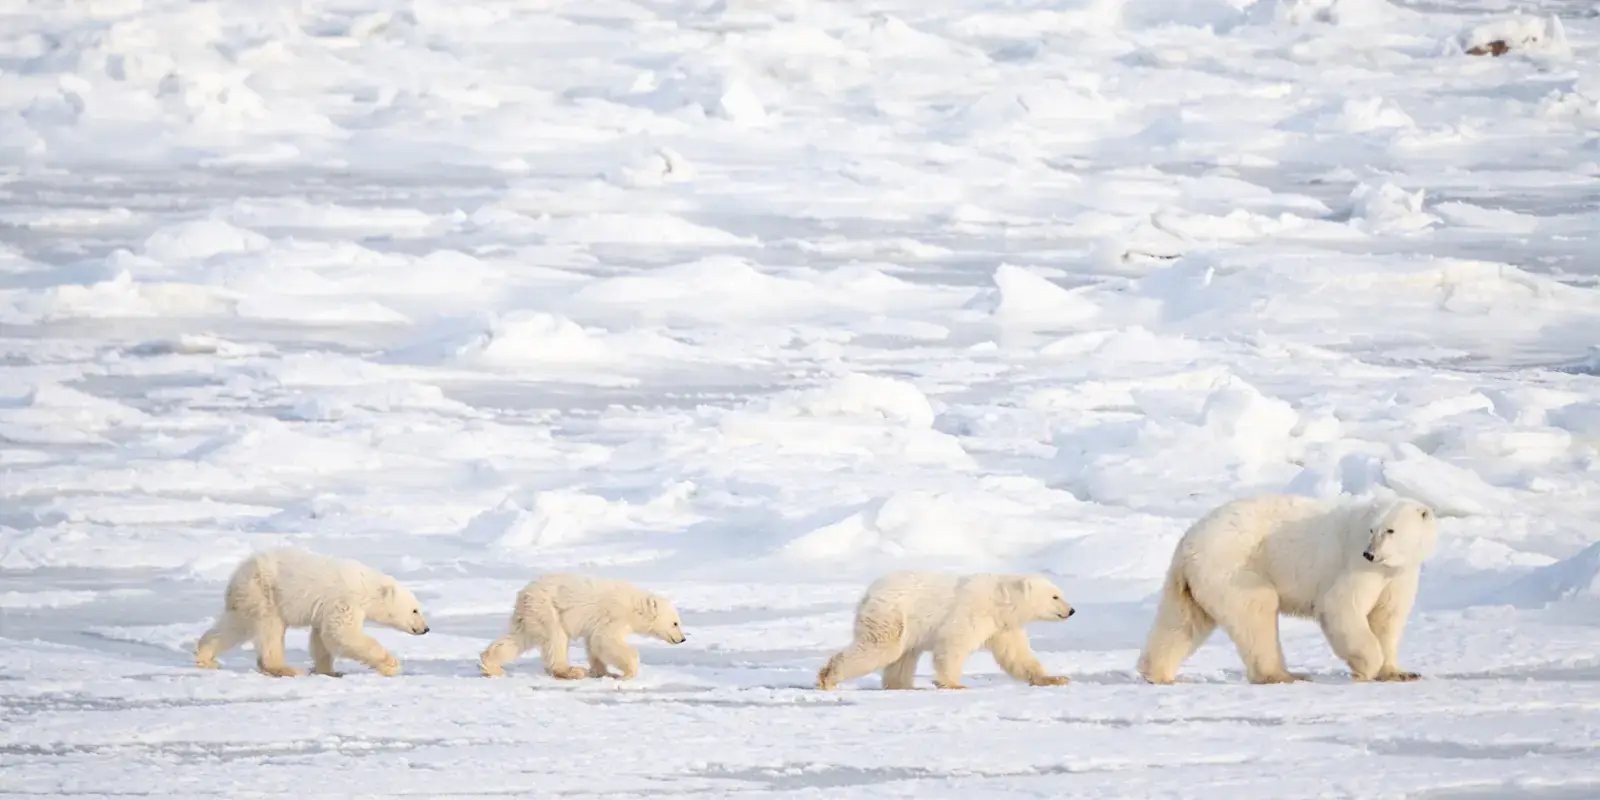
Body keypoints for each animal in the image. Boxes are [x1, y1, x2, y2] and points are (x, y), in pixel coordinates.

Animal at [193, 547, 431, 678]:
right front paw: (391, 664)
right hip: (265, 594)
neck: (366, 586)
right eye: (415, 610)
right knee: (270, 630)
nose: (426, 629)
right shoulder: (344, 600)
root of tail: (235, 578)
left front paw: (329, 671)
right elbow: (342, 634)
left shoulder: (327, 608)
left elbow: (322, 638)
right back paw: (284, 668)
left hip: (249, 598)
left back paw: (206, 657)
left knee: (235, 626)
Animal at [478, 574, 686, 681]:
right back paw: (571, 671)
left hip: (531, 615)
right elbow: (605, 640)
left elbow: (594, 644)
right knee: (556, 640)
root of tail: (524, 594)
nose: (682, 639)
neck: (635, 606)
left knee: (519, 639)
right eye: (675, 623)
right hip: (549, 610)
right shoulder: (614, 615)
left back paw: (491, 666)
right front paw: (628, 673)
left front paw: (604, 672)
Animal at [816, 571, 1076, 691]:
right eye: (1055, 596)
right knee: (880, 648)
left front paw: (1056, 678)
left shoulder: (1002, 626)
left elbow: (1016, 656)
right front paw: (953, 684)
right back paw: (828, 678)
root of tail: (868, 594)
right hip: (892, 616)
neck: (1000, 600)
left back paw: (904, 685)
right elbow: (953, 644)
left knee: (903, 658)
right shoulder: (972, 612)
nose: (1072, 610)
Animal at [1136, 492, 1438, 686]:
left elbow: (1387, 618)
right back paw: (1285, 675)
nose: (1370, 554)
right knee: (1257, 611)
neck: (1388, 566)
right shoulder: (1356, 566)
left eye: (1391, 530)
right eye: (1372, 530)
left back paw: (1158, 674)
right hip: (1234, 566)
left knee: (1183, 622)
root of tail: (1188, 542)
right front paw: (1367, 667)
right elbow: (1341, 606)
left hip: (1192, 579)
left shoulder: (1398, 575)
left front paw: (1400, 672)